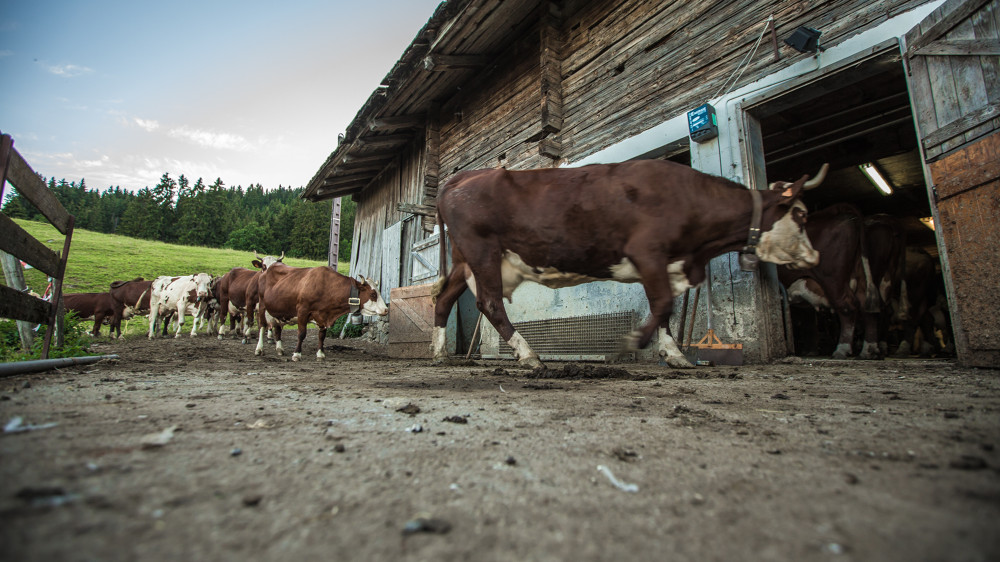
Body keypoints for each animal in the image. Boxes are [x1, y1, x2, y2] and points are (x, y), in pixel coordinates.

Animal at [254, 262, 386, 358]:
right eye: (373, 294)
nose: (385, 309)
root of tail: (267, 269)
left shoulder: (323, 315)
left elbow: (322, 335)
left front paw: (320, 354)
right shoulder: (302, 311)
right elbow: (301, 334)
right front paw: (297, 354)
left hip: (278, 310)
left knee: (277, 328)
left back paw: (280, 349)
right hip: (262, 305)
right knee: (262, 326)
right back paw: (259, 349)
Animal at [430, 159, 828, 368]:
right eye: (801, 214)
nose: (815, 256)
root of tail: (463, 176)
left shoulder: (666, 263)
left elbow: (665, 309)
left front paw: (675, 354)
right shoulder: (648, 251)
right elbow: (663, 304)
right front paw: (633, 342)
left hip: (465, 260)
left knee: (443, 298)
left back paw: (438, 352)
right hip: (483, 251)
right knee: (490, 303)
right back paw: (529, 356)